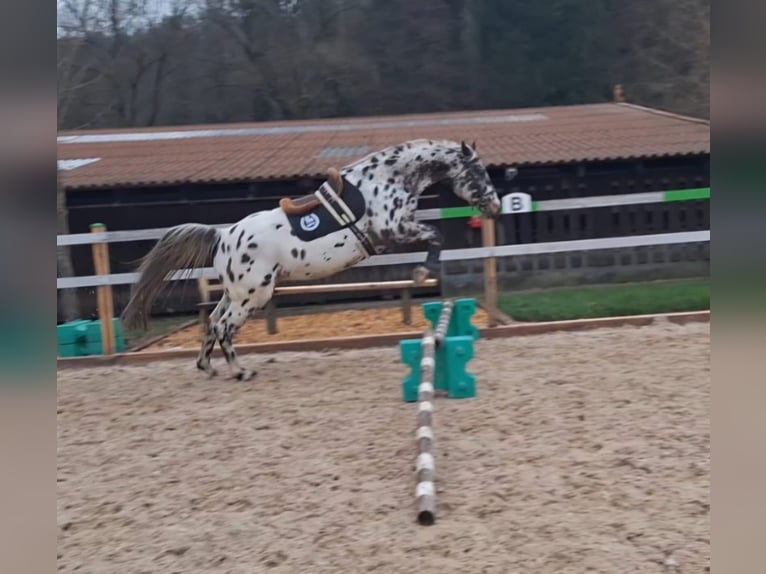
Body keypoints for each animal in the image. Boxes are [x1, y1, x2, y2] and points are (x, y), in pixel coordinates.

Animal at [121, 139, 503, 381]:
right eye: (478, 173)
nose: (495, 206)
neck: (387, 179)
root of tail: (223, 236)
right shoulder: (393, 229)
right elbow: (435, 236)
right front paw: (424, 272)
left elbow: (434, 236)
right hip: (253, 295)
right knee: (223, 326)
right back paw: (240, 371)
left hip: (235, 292)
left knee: (212, 322)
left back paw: (208, 367)